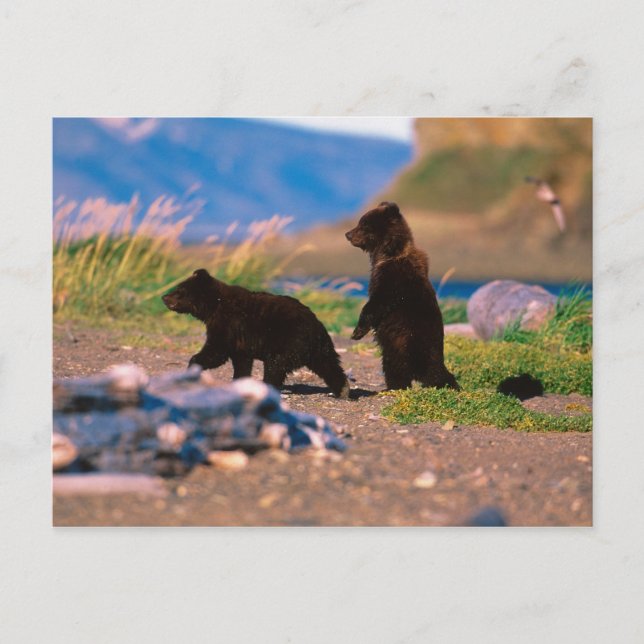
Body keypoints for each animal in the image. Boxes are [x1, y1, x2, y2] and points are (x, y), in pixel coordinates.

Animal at [162, 269, 350, 399]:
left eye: (179, 290)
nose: (164, 297)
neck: (213, 306)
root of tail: (316, 328)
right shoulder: (240, 340)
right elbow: (242, 361)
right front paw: (239, 381)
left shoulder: (227, 324)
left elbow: (216, 351)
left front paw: (192, 365)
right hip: (320, 349)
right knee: (329, 365)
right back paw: (343, 390)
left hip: (287, 340)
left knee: (275, 366)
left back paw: (268, 387)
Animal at [345, 201, 459, 391]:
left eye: (364, 224)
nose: (348, 234)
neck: (388, 253)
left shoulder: (393, 279)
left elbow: (376, 303)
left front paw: (357, 332)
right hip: (396, 346)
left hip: (412, 342)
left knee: (421, 369)